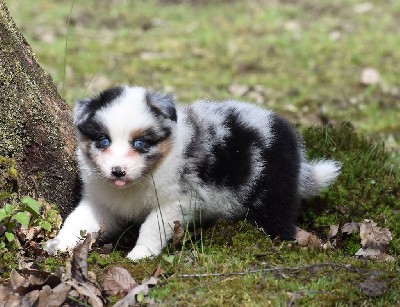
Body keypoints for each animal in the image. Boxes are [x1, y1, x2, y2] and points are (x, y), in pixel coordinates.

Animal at [46, 85, 340, 262]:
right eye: (103, 141)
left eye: (140, 143)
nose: (118, 172)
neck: (140, 180)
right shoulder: (102, 201)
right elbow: (79, 219)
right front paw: (60, 244)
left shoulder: (176, 202)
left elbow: (152, 225)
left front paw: (141, 254)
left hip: (274, 190)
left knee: (279, 219)